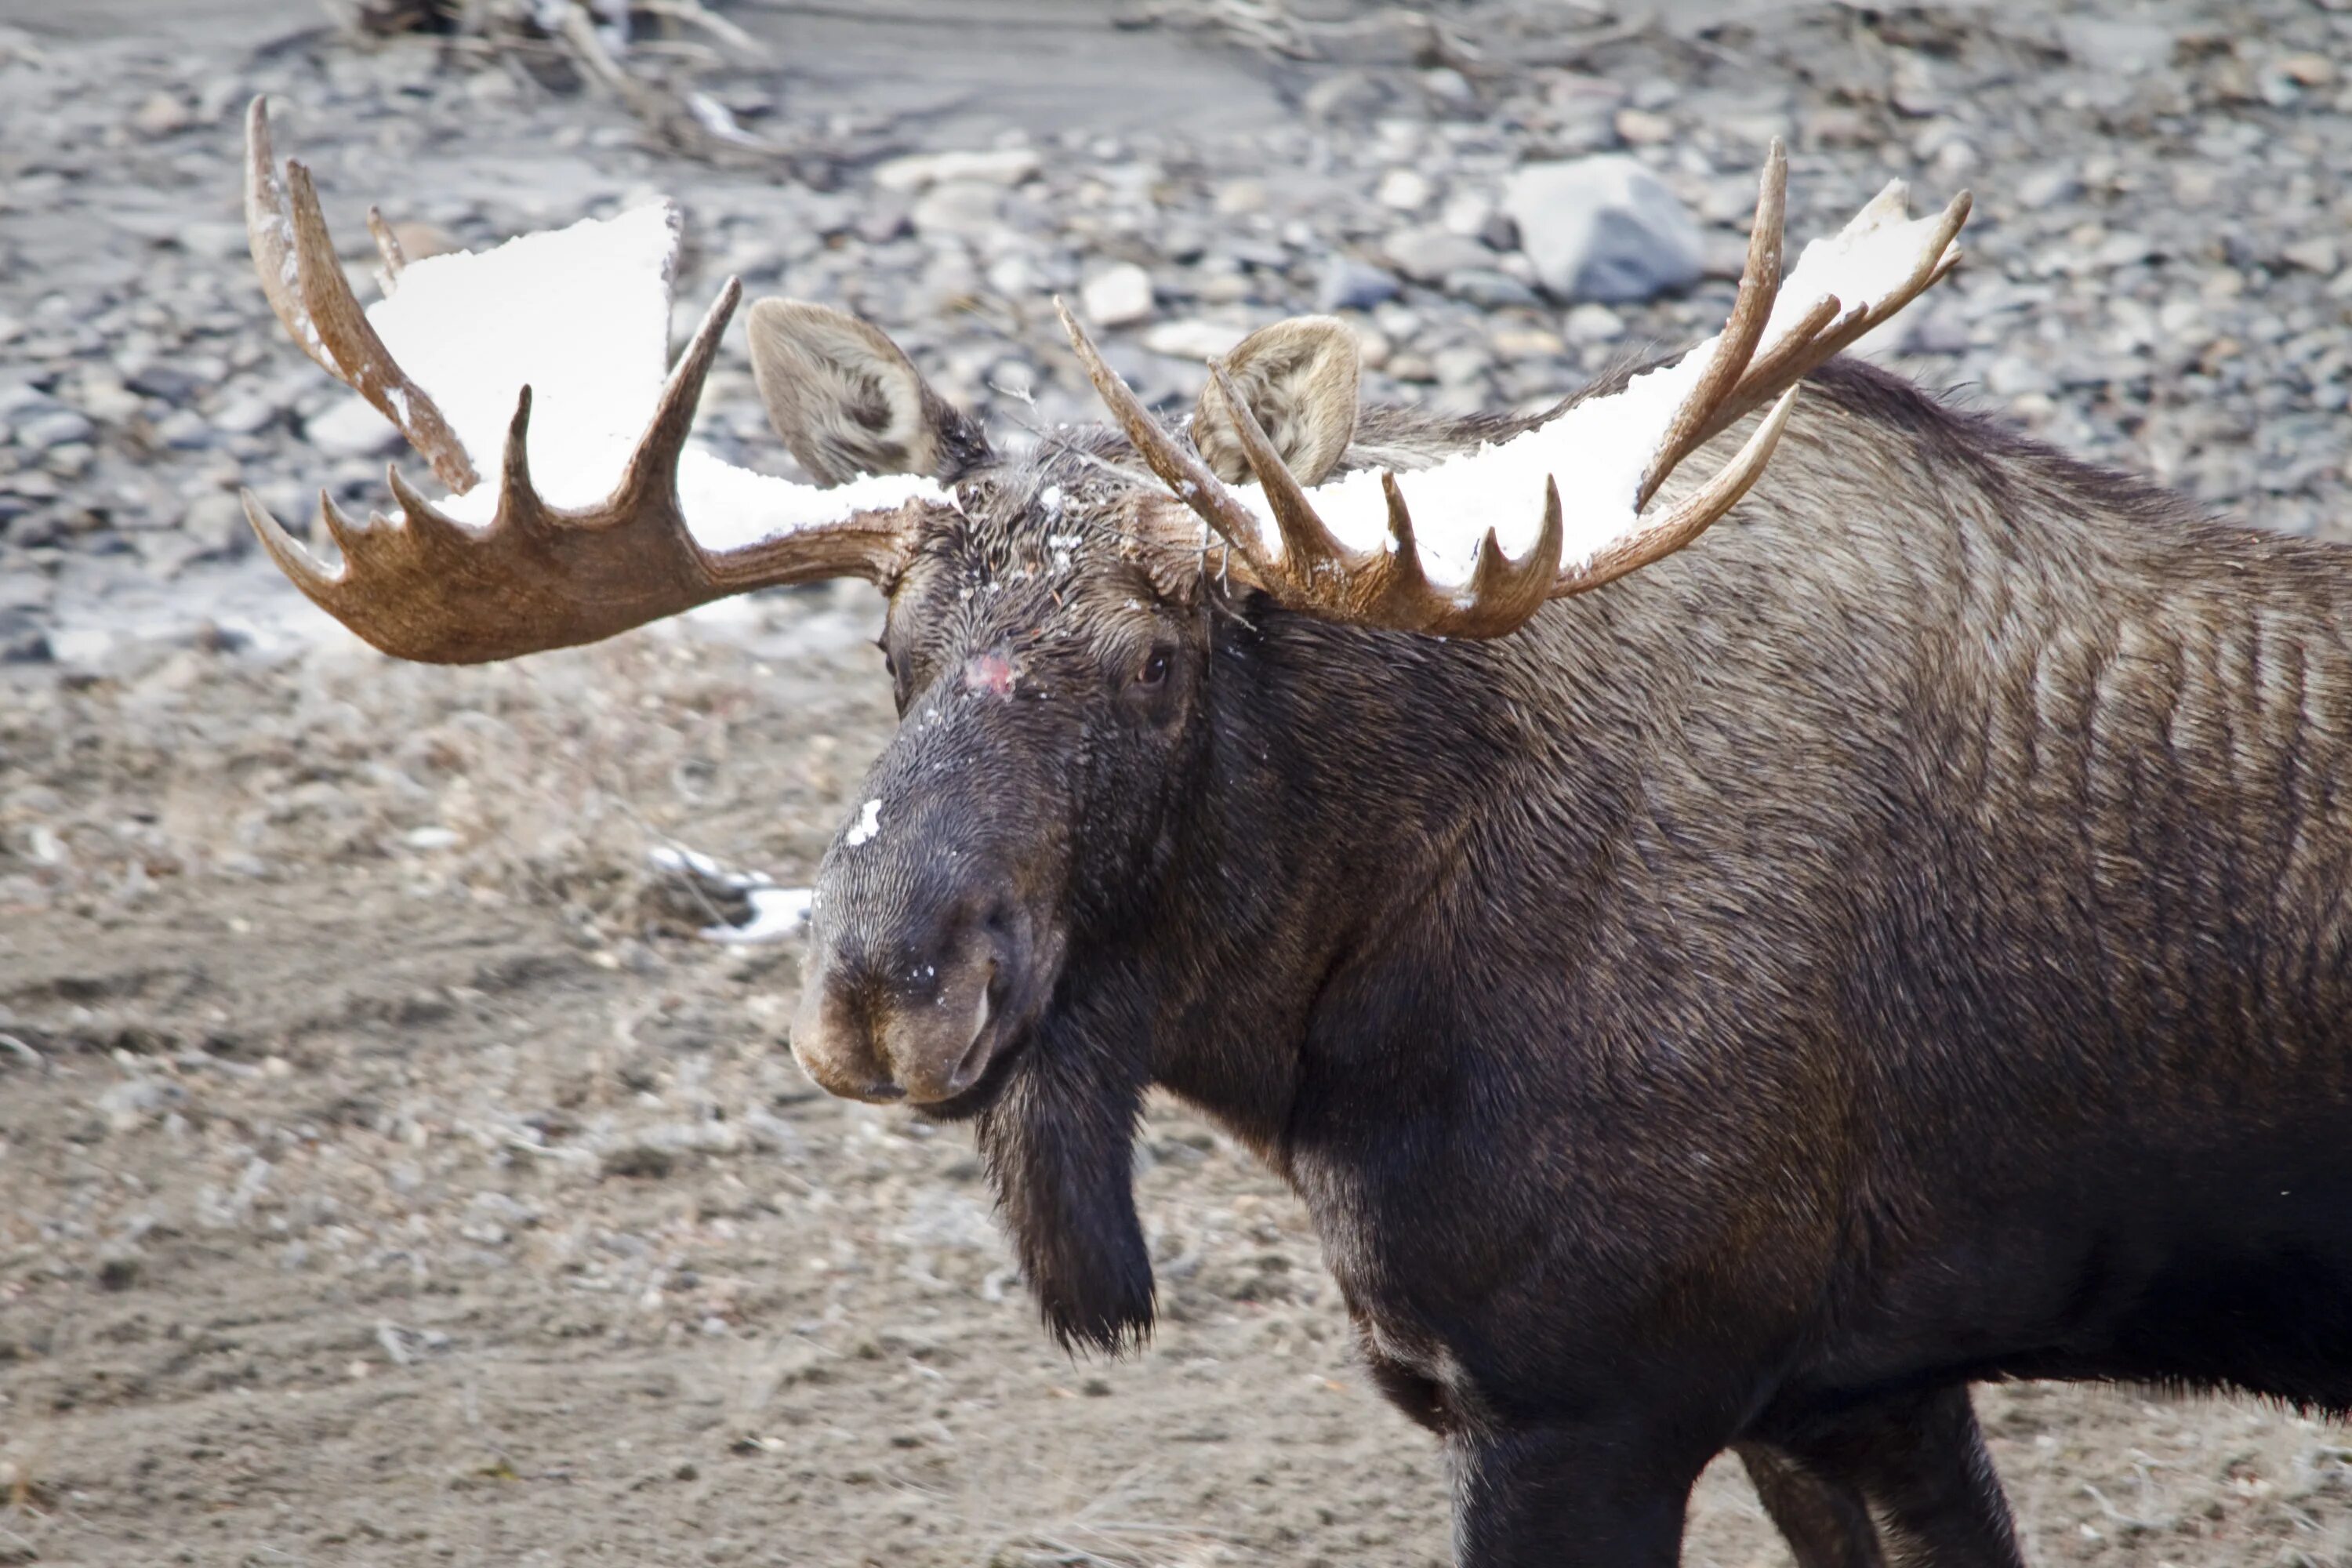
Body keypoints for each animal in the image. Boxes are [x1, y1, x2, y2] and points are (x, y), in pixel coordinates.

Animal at [234, 100, 2352, 1568]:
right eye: (891, 649)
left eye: (1162, 658)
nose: (876, 990)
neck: (1329, 1035)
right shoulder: (1854, 1386)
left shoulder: (1594, 1391)